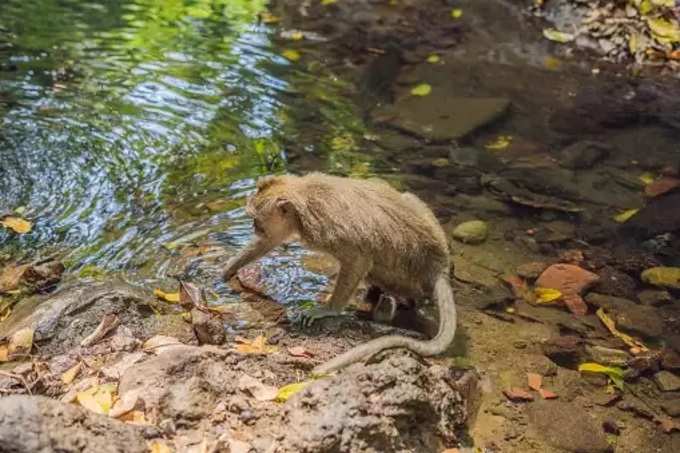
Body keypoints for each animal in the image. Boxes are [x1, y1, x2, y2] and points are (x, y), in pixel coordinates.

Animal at [223, 171, 456, 372]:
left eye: (256, 219)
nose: (254, 227)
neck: (304, 194)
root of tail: (439, 265)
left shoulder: (325, 228)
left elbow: (358, 258)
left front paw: (329, 309)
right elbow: (269, 241)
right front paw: (229, 268)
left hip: (402, 275)